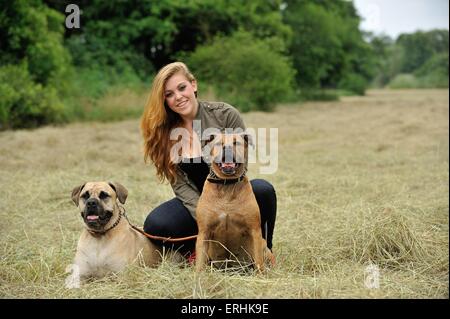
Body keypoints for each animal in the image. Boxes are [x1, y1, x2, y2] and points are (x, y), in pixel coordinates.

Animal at [194, 132, 272, 272]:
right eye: (219, 143)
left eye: (236, 143)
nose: (228, 148)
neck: (227, 185)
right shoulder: (204, 232)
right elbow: (200, 263)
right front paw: (198, 275)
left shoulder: (255, 230)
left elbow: (259, 261)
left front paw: (261, 275)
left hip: (264, 245)